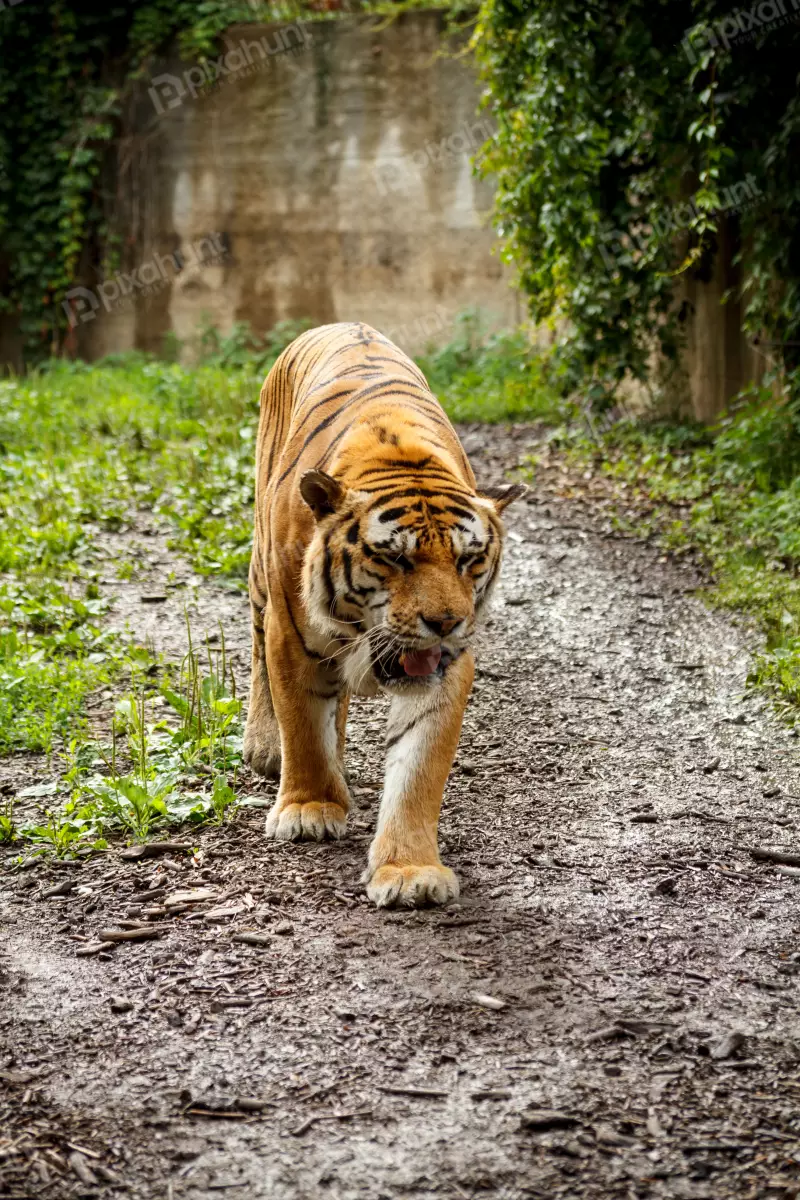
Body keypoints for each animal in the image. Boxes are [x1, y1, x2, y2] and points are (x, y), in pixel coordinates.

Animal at [247, 324, 527, 902]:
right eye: (395, 558)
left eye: (468, 560)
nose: (445, 623)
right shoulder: (290, 634)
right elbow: (301, 723)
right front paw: (309, 808)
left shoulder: (448, 665)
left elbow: (418, 767)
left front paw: (408, 870)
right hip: (261, 573)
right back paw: (265, 747)